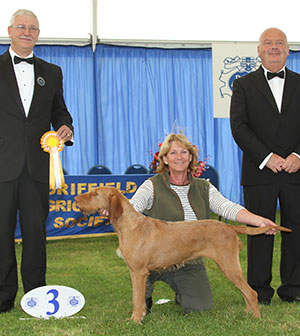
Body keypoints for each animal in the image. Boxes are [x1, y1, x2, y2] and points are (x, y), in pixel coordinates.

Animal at [74, 186, 290, 322]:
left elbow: (137, 299)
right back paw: (247, 314)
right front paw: (139, 317)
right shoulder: (137, 272)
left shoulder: (138, 271)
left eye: (95, 193)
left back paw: (256, 319)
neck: (129, 225)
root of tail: (229, 227)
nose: (75, 199)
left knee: (251, 292)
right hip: (230, 266)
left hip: (229, 265)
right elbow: (139, 299)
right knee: (245, 292)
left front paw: (134, 321)